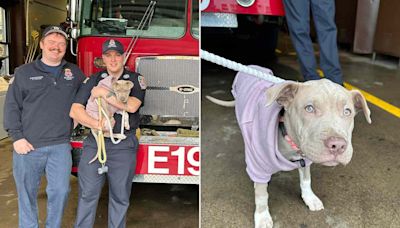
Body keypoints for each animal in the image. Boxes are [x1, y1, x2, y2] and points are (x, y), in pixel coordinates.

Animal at [206, 66, 372, 228]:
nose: (338, 145)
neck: (291, 143)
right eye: (309, 108)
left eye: (347, 111)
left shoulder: (305, 160)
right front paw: (262, 217)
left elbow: (306, 180)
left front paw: (310, 198)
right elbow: (261, 195)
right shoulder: (258, 167)